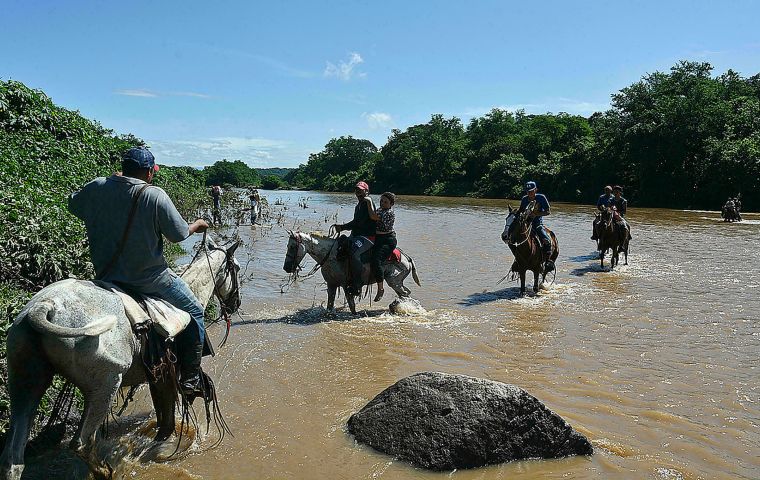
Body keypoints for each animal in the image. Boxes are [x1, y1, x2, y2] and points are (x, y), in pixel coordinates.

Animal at [0, 240, 240, 480]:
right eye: (235, 268)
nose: (235, 303)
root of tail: (45, 306)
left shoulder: (158, 378)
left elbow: (164, 420)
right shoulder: (168, 376)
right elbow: (167, 423)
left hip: (25, 385)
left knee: (13, 457)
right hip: (104, 387)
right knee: (82, 442)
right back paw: (107, 470)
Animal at [282, 231, 422, 314]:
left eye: (292, 246)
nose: (286, 268)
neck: (332, 255)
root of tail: (407, 258)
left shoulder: (346, 285)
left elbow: (352, 306)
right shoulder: (331, 284)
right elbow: (330, 305)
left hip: (394, 281)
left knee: (405, 294)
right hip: (397, 282)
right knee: (405, 294)